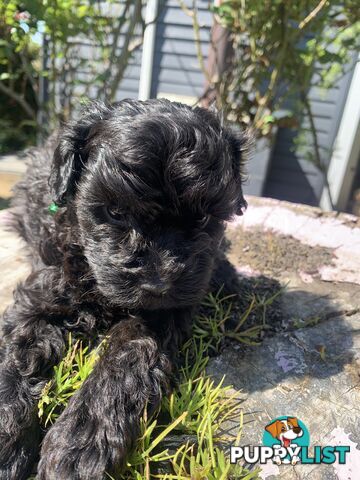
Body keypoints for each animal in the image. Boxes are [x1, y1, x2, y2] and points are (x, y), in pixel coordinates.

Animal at [0, 99, 248, 478]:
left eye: (205, 219)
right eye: (115, 213)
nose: (158, 283)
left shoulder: (162, 314)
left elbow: (127, 357)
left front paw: (79, 444)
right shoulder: (41, 293)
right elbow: (15, 353)